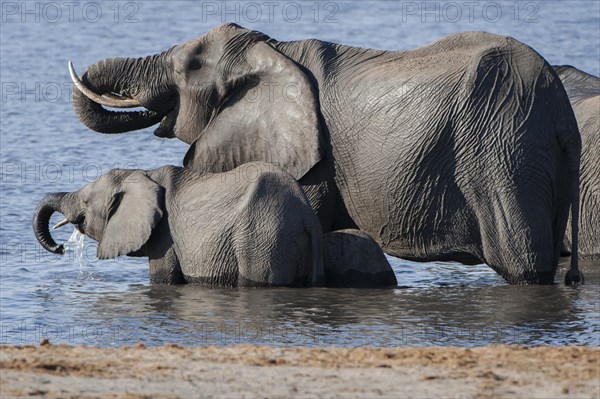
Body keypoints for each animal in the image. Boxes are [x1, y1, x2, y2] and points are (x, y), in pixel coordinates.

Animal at [33, 162, 326, 288]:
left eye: (84, 202)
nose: (60, 248)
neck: (141, 174)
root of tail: (306, 215)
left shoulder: (166, 236)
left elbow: (164, 277)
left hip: (262, 236)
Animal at [69, 24, 580, 284]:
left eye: (189, 67)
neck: (273, 51)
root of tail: (562, 114)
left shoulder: (313, 160)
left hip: (504, 150)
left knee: (523, 261)